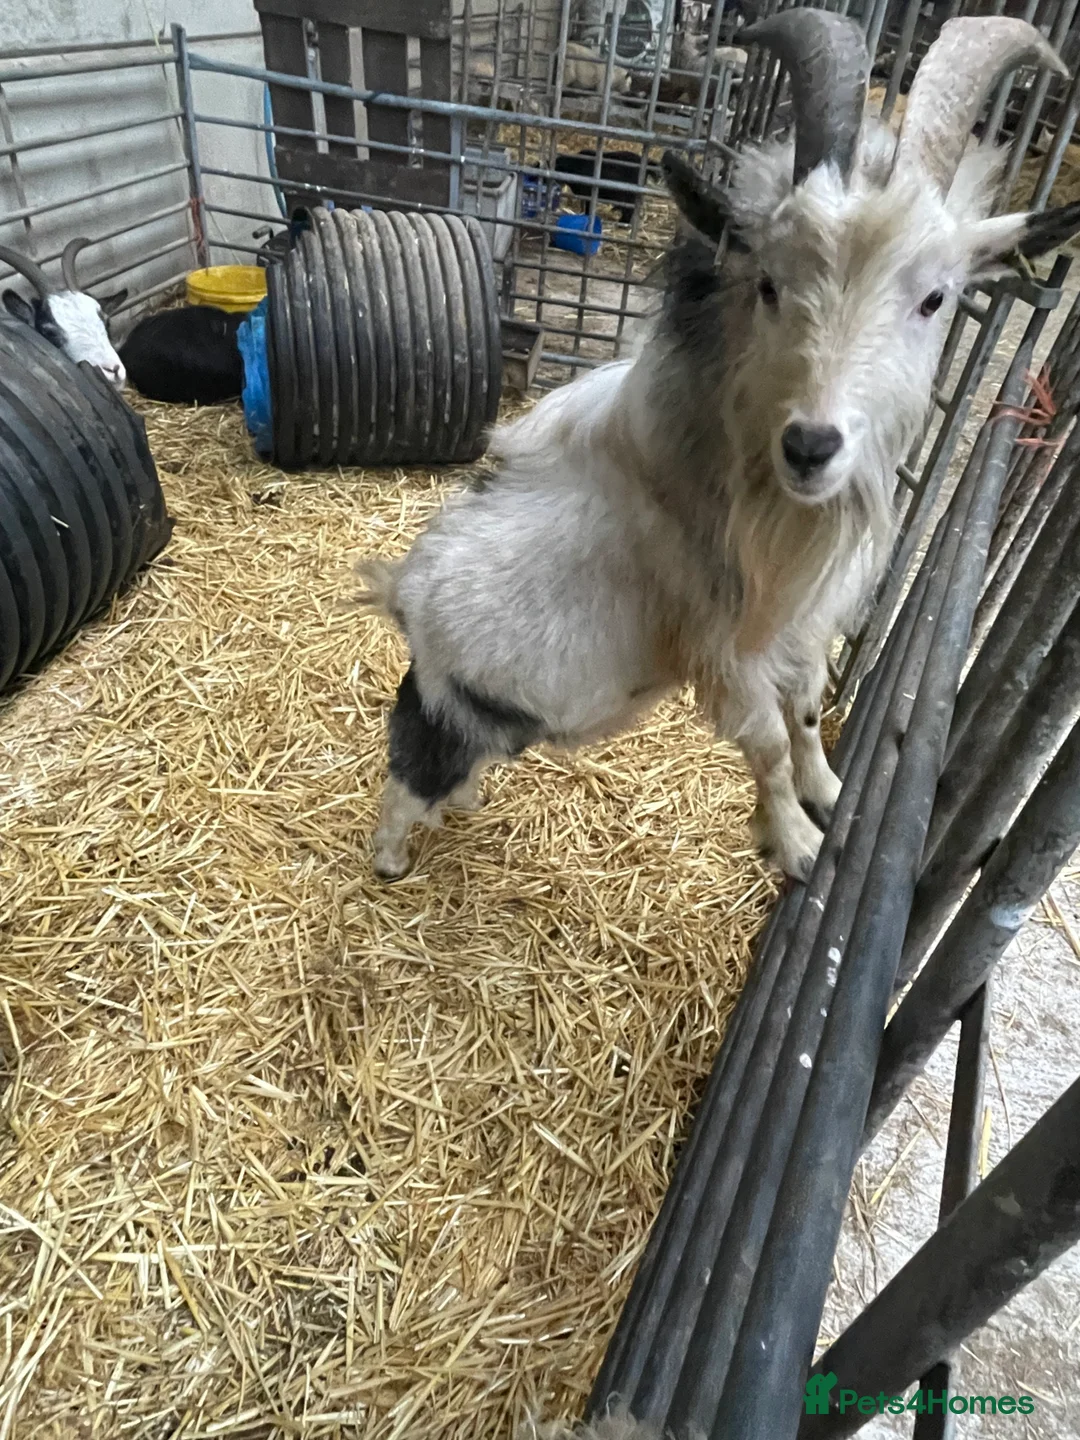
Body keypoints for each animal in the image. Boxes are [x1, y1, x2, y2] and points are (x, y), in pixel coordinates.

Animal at [361, 12, 1080, 883]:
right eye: (769, 284)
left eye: (936, 298)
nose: (811, 445)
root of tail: (403, 594)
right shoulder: (724, 648)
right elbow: (766, 741)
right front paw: (799, 845)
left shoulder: (803, 623)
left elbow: (805, 713)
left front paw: (829, 793)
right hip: (456, 711)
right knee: (410, 769)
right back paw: (390, 858)